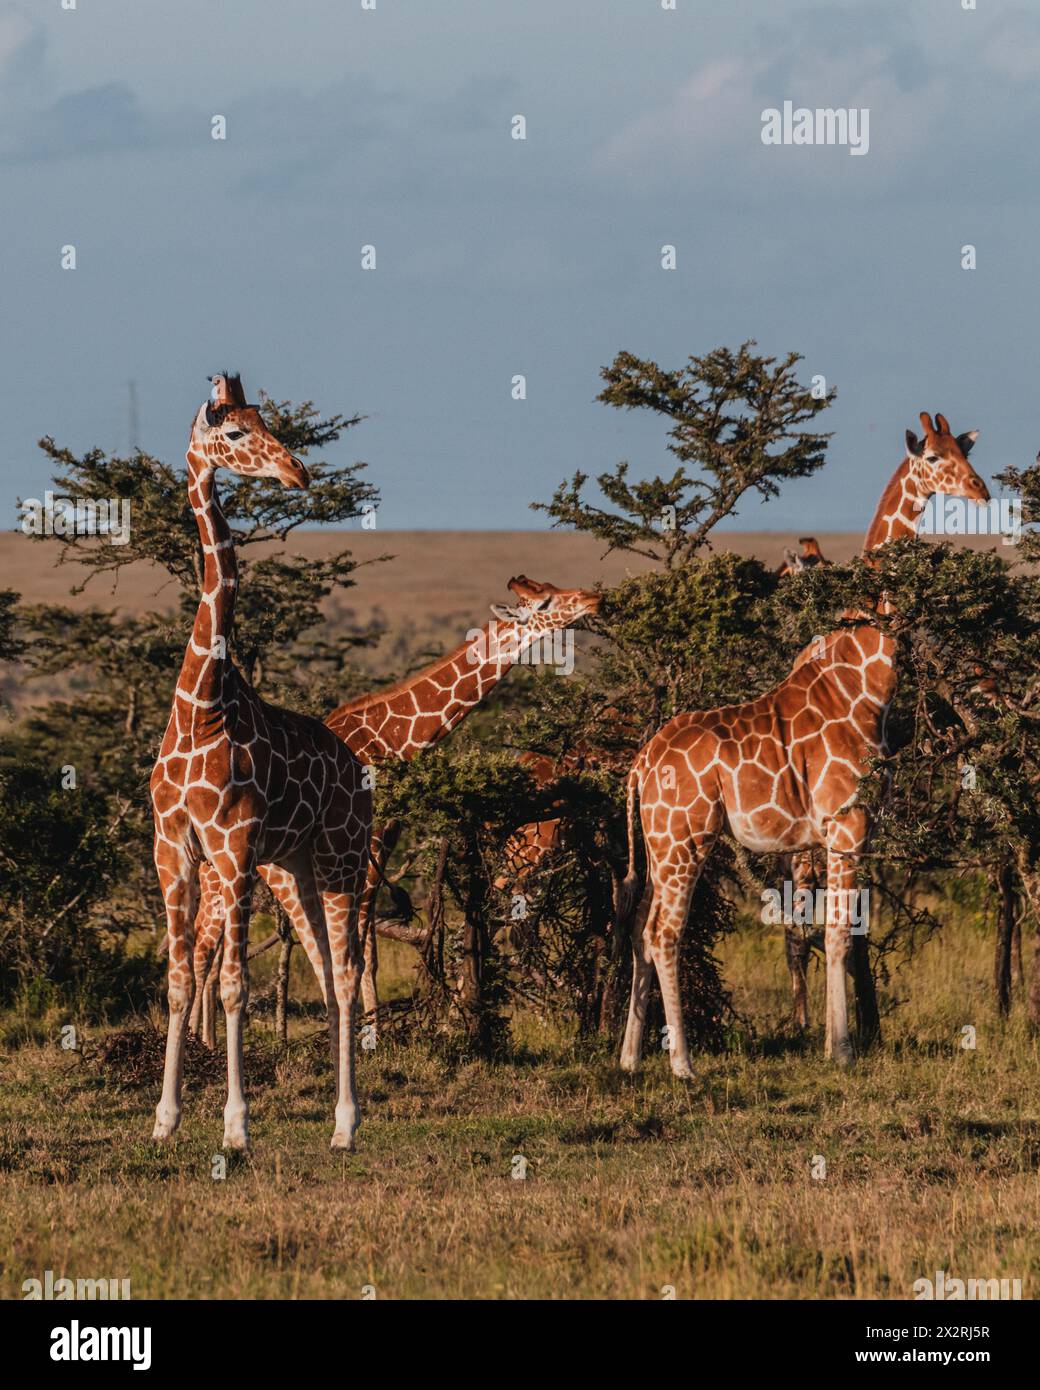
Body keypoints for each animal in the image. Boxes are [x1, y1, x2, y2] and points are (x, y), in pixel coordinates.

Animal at [150, 374, 371, 1151]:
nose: (298, 471)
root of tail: (357, 768)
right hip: (296, 867)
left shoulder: (235, 848)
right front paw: (164, 1120)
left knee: (346, 973)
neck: (202, 704)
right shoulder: (174, 848)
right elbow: (180, 981)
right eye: (236, 432)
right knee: (326, 972)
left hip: (340, 856)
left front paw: (236, 1127)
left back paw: (347, 1125)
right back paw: (338, 1118)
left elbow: (234, 985)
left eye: (268, 419)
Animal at [188, 576, 602, 1038]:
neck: (392, 740)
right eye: (546, 602)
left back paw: (205, 1038)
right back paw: (197, 1039)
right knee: (202, 946)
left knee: (212, 949)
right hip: (223, 870)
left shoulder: (382, 838)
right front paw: (369, 1033)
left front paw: (370, 1026)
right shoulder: (367, 840)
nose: (594, 599)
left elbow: (365, 941)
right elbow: (360, 940)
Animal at [619, 413, 989, 1074]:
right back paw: (683, 1063)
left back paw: (631, 1058)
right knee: (664, 932)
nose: (981, 491)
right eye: (934, 460)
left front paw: (834, 1043)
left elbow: (837, 931)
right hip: (685, 838)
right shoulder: (846, 821)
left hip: (660, 844)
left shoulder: (843, 831)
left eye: (967, 452)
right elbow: (838, 933)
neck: (863, 682)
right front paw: (840, 1051)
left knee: (640, 925)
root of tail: (639, 763)